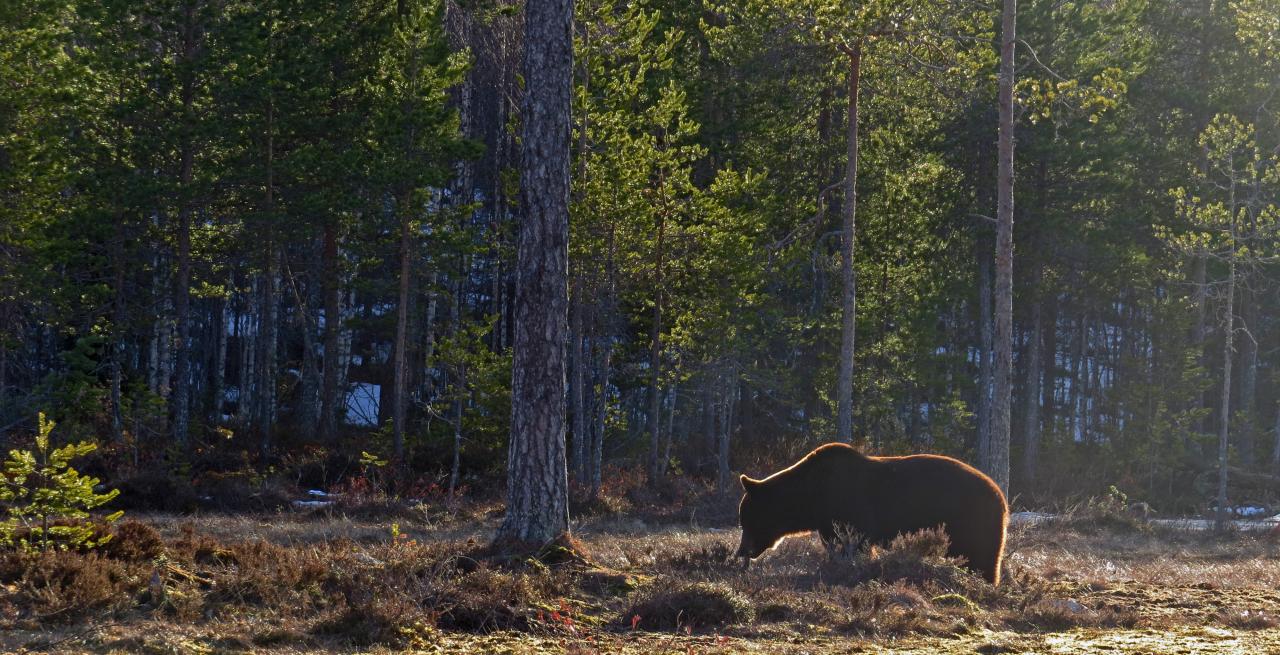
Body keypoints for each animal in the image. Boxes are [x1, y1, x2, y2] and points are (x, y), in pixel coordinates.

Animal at [742, 442, 1008, 585]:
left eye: (747, 520)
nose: (742, 552)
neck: (812, 498)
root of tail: (1001, 497)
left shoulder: (850, 510)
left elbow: (854, 545)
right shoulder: (827, 522)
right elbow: (834, 545)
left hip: (971, 520)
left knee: (981, 558)